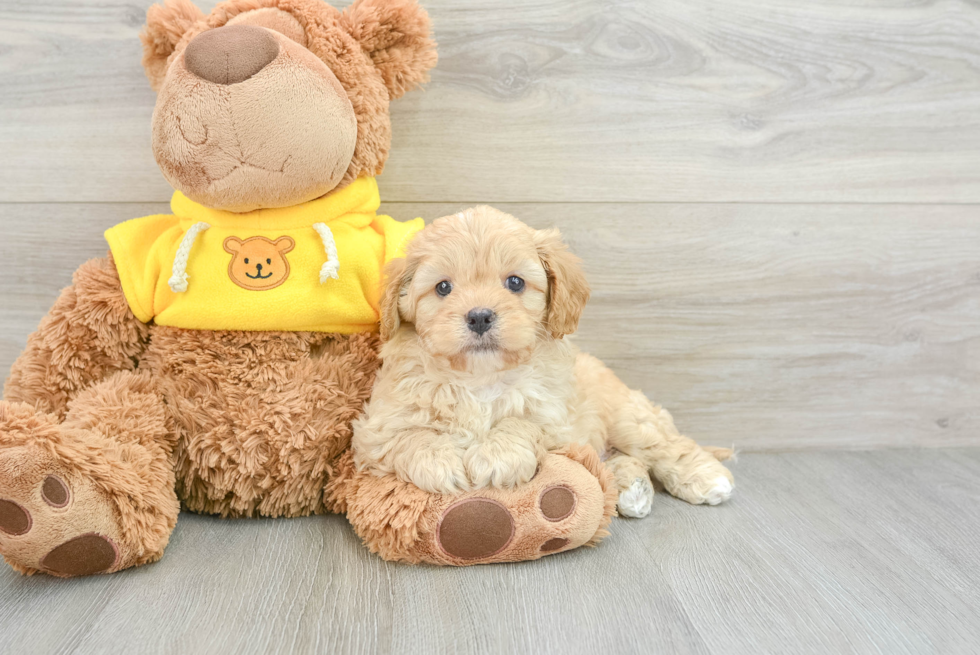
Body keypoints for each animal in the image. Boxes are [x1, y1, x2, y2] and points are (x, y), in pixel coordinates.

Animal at [352, 208, 736, 516]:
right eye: (443, 288)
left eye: (515, 282)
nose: (479, 316)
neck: (480, 379)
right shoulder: (376, 429)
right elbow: (412, 435)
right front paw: (439, 462)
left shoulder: (558, 421)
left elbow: (522, 422)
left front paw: (497, 456)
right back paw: (632, 491)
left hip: (626, 417)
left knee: (664, 446)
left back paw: (707, 478)